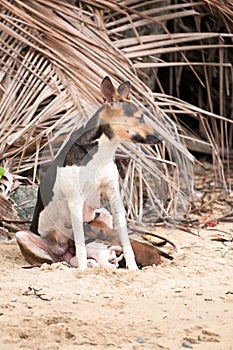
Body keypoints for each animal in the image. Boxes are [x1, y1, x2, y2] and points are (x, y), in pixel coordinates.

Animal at [16, 77, 163, 270]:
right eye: (139, 118)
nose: (161, 138)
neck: (102, 153)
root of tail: (62, 249)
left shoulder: (114, 200)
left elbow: (126, 242)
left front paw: (132, 268)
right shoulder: (76, 202)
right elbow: (81, 247)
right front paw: (83, 270)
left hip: (104, 213)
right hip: (23, 236)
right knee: (57, 260)